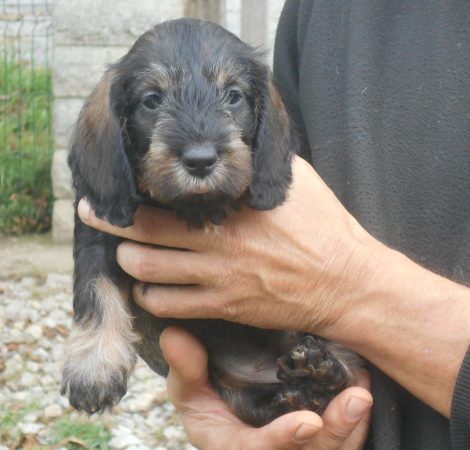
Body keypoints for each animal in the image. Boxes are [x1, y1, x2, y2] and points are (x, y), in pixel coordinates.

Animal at [62, 18, 362, 426]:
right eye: (152, 100)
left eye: (233, 95)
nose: (201, 160)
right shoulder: (95, 234)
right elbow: (95, 290)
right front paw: (92, 367)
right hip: (242, 391)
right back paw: (299, 389)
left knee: (344, 373)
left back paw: (320, 367)